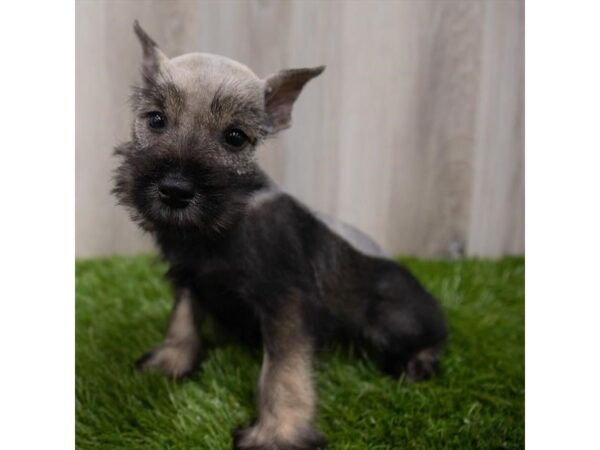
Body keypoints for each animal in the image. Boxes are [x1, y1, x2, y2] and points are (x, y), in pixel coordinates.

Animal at [115, 22, 448, 450]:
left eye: (235, 137)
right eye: (155, 119)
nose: (175, 190)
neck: (221, 227)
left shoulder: (287, 304)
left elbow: (282, 372)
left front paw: (278, 433)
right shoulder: (189, 279)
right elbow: (182, 322)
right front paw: (169, 363)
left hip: (393, 315)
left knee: (434, 332)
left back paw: (419, 361)